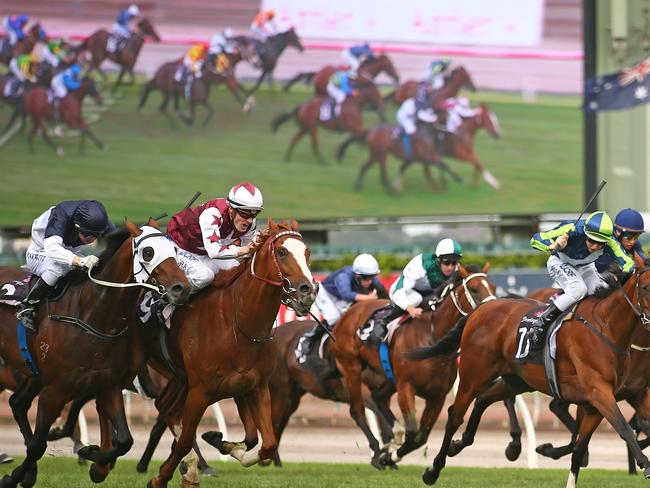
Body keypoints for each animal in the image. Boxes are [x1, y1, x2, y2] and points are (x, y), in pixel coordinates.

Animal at [0, 222, 190, 488]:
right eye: (148, 252)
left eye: (174, 249)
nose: (181, 288)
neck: (91, 315)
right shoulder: (54, 390)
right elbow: (38, 445)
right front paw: (12, 477)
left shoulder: (107, 384)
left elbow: (125, 441)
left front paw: (92, 457)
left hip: (33, 373)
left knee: (17, 403)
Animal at [142, 221, 316, 488]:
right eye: (282, 252)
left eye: (307, 252)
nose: (308, 290)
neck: (237, 324)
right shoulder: (201, 392)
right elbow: (185, 439)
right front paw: (161, 478)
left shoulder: (253, 386)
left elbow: (265, 442)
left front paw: (224, 443)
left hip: (179, 379)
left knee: (166, 408)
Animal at [330, 264, 492, 468]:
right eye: (474, 289)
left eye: (492, 287)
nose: (491, 309)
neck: (432, 338)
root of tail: (347, 315)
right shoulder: (406, 388)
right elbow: (413, 433)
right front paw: (387, 456)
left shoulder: (437, 396)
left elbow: (420, 437)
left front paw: (390, 455)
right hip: (351, 368)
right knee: (357, 410)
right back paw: (377, 451)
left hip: (387, 376)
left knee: (378, 398)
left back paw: (392, 437)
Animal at [404, 258, 650, 486]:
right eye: (646, 287)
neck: (605, 327)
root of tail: (480, 310)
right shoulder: (598, 392)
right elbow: (624, 428)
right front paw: (646, 466)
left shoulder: (598, 403)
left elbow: (579, 451)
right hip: (473, 376)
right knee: (455, 414)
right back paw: (433, 470)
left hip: (517, 380)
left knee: (484, 399)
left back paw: (463, 444)